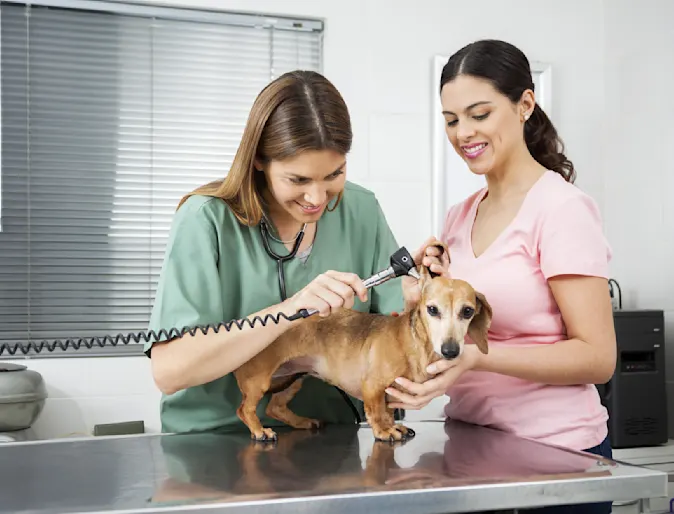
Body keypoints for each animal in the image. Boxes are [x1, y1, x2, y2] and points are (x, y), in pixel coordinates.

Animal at [231, 243, 488, 440]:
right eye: (432, 309)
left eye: (467, 311)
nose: (450, 351)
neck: (415, 344)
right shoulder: (372, 387)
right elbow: (376, 412)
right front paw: (384, 432)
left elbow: (386, 412)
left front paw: (394, 426)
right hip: (258, 381)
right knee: (245, 409)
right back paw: (260, 431)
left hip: (293, 378)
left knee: (275, 407)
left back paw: (303, 422)